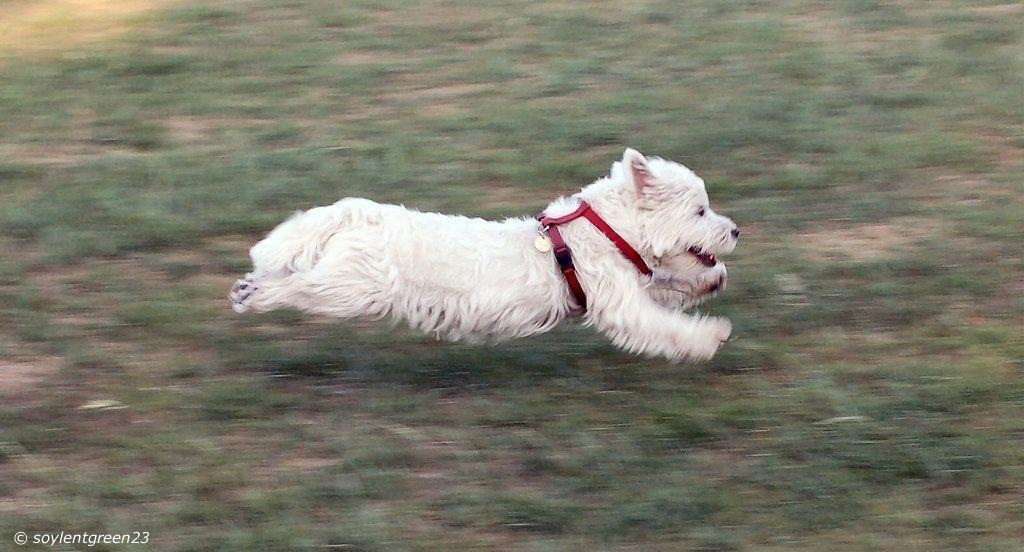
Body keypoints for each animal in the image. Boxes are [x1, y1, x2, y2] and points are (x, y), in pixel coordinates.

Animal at [230, 149, 737, 360]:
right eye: (700, 210)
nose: (735, 230)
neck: (604, 229)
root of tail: (355, 214)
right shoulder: (619, 303)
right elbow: (663, 325)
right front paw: (711, 337)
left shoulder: (628, 284)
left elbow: (669, 284)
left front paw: (712, 279)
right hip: (352, 289)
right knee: (294, 286)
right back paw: (249, 294)